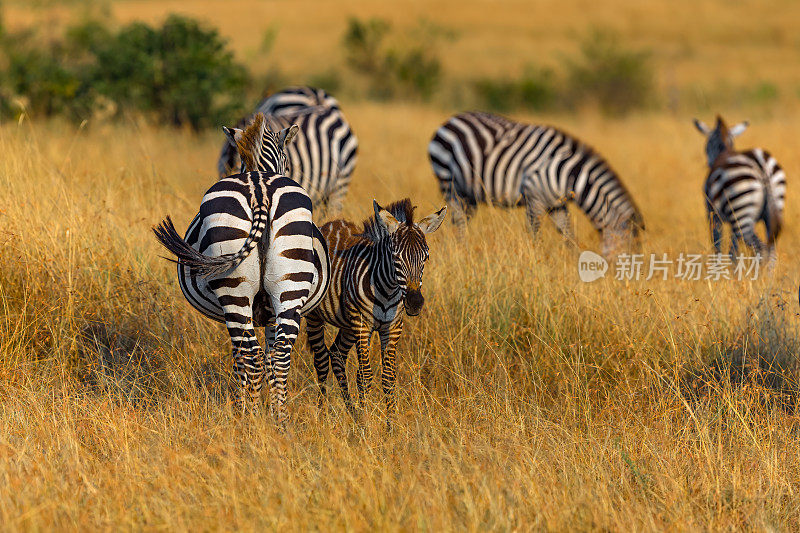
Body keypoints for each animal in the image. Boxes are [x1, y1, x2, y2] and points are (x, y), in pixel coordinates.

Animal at [152, 114, 330, 422]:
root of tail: (260, 189)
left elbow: (239, 361)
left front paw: (241, 406)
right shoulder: (270, 314)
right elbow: (270, 358)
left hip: (234, 289)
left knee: (251, 356)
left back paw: (250, 420)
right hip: (290, 286)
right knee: (278, 357)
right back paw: (279, 422)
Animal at [306, 197, 446, 426]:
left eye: (426, 257)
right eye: (395, 257)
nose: (415, 303)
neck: (388, 290)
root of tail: (329, 224)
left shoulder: (393, 327)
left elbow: (388, 377)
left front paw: (390, 426)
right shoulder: (363, 325)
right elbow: (364, 376)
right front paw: (365, 424)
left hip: (348, 324)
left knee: (336, 354)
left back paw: (351, 411)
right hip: (315, 316)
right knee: (321, 361)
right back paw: (321, 413)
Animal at [424, 110, 644, 254]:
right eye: (630, 252)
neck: (568, 175)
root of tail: (449, 120)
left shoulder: (557, 204)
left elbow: (568, 235)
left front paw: (574, 263)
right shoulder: (534, 198)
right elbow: (535, 234)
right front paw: (537, 262)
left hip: (469, 193)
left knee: (463, 220)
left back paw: (464, 249)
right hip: (448, 181)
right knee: (459, 220)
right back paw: (461, 251)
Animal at [692, 115, 788, 262]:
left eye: (706, 146)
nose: (708, 164)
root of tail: (761, 164)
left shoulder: (712, 214)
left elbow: (717, 247)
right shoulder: (732, 221)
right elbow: (733, 251)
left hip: (741, 211)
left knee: (761, 248)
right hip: (773, 207)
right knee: (772, 251)